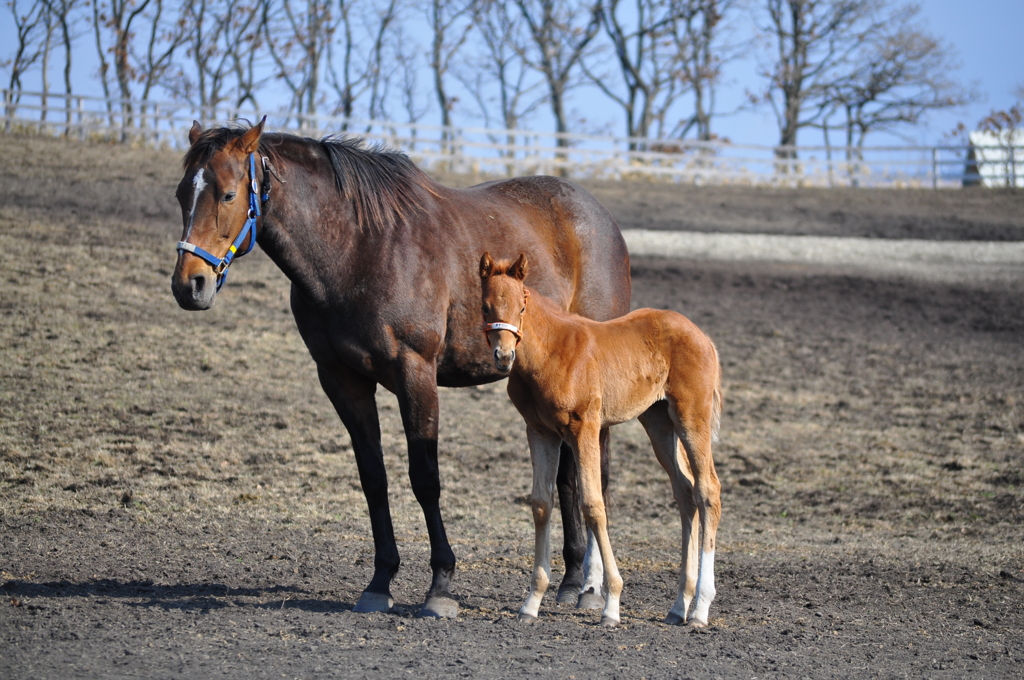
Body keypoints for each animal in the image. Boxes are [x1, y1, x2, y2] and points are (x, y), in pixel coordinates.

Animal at [169, 119, 630, 618]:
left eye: (229, 194)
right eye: (181, 193)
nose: (189, 285)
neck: (359, 248)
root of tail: (599, 217)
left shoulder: (416, 373)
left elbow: (425, 478)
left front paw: (440, 586)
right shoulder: (342, 380)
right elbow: (374, 478)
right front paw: (380, 581)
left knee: (597, 475)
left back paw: (590, 588)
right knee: (568, 476)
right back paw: (570, 579)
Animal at [477, 253, 720, 626]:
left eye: (522, 306)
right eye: (485, 307)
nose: (504, 357)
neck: (550, 352)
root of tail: (703, 336)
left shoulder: (585, 428)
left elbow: (593, 504)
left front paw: (611, 604)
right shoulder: (540, 431)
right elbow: (541, 503)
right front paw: (531, 603)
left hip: (692, 417)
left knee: (707, 490)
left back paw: (700, 609)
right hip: (658, 421)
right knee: (685, 491)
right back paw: (679, 605)